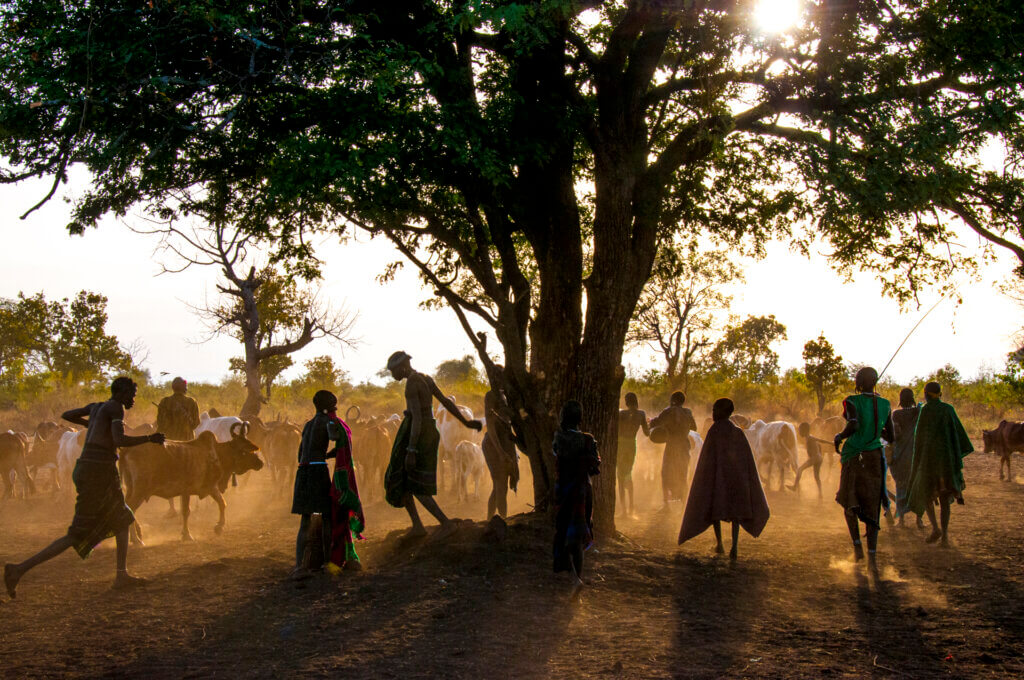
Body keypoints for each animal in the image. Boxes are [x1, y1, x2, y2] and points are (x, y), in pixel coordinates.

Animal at [119, 421, 264, 544]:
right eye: (244, 450)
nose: (260, 463)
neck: (217, 453)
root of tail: (127, 449)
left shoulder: (210, 487)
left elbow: (222, 503)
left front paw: (219, 527)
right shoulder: (187, 490)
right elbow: (186, 512)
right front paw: (187, 535)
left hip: (131, 488)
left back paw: (135, 535)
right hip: (140, 490)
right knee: (130, 509)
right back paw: (136, 540)